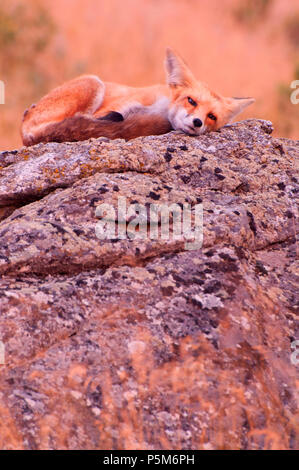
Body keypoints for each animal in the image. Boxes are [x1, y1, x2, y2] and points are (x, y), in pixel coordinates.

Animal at [21, 49, 255, 146]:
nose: (197, 122)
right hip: (93, 82)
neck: (158, 108)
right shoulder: (113, 109)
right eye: (191, 101)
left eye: (212, 116)